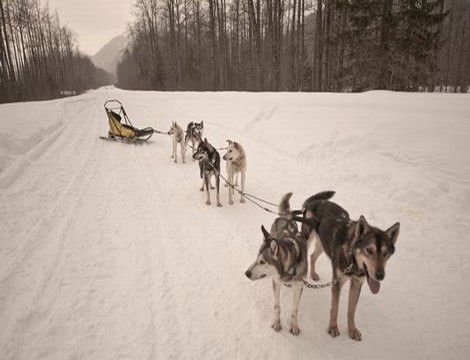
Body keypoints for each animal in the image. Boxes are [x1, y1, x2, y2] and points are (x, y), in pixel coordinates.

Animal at [244, 193, 310, 336]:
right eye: (257, 258)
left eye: (262, 261)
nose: (246, 273)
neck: (290, 268)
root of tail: (286, 216)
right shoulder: (276, 282)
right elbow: (277, 306)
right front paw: (276, 323)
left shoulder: (299, 286)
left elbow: (294, 310)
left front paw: (294, 326)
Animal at [302, 191, 400, 340]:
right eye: (369, 250)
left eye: (385, 253)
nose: (380, 275)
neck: (352, 260)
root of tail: (316, 202)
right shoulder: (337, 282)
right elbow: (335, 308)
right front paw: (333, 327)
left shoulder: (357, 284)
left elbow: (351, 310)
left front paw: (352, 330)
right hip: (307, 239)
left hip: (323, 245)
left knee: (313, 256)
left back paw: (313, 274)